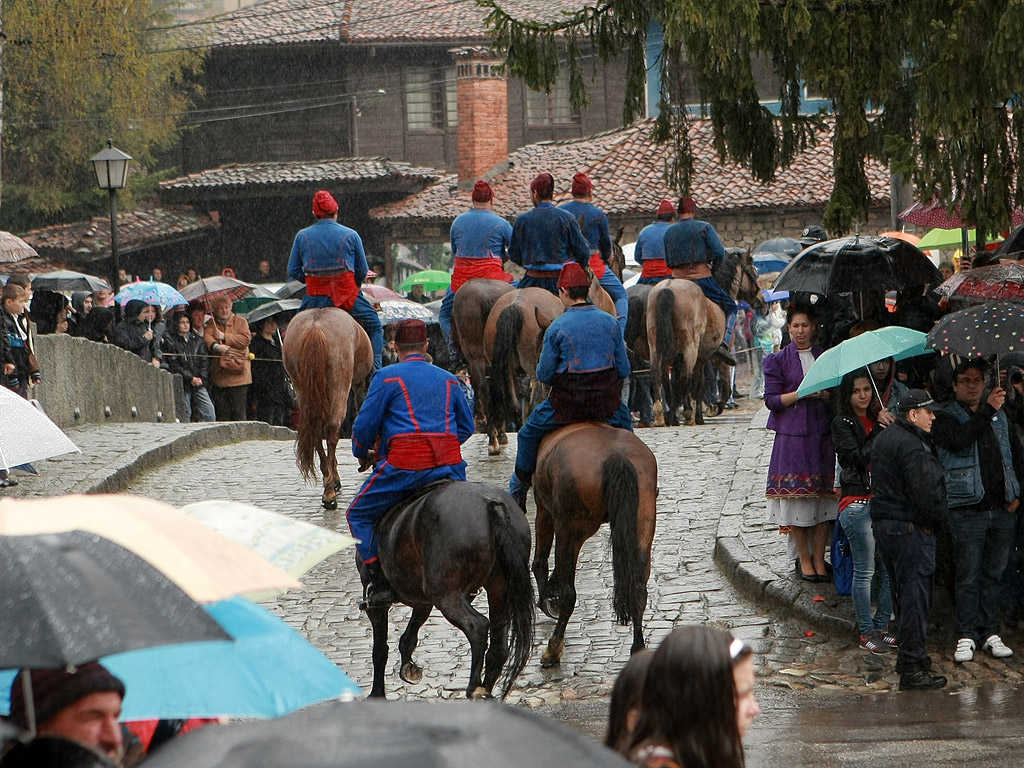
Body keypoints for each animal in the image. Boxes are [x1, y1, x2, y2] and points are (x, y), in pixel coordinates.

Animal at [282, 307, 374, 512]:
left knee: (314, 430)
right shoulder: (358, 385)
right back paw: (329, 494)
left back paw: (328, 480)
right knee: (332, 429)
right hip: (340, 383)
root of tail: (315, 326)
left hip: (303, 388)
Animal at [362, 483, 536, 700]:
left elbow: (379, 649)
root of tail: (492, 504)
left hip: (447, 596)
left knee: (477, 626)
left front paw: (377, 694)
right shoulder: (423, 600)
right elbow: (410, 633)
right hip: (499, 589)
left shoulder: (376, 604)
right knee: (499, 647)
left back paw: (475, 687)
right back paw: (486, 691)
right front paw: (408, 665)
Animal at [528, 423, 655, 671]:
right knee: (638, 590)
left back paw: (553, 649)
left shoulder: (544, 511)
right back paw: (637, 649)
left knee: (569, 593)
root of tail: (616, 455)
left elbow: (539, 562)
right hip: (643, 527)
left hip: (570, 527)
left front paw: (548, 599)